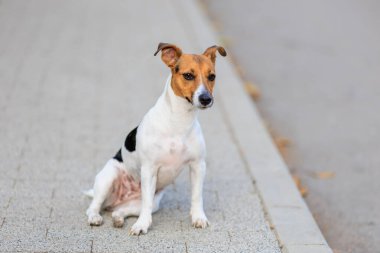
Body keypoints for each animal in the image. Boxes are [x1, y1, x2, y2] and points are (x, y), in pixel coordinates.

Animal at [85, 42, 226, 235]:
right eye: (188, 75)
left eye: (212, 76)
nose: (206, 99)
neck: (179, 121)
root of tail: (119, 199)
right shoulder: (149, 170)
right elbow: (146, 205)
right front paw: (142, 225)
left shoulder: (198, 166)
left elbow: (197, 197)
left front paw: (199, 218)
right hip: (108, 177)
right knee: (94, 206)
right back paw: (95, 217)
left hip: (152, 202)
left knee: (121, 210)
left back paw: (118, 218)